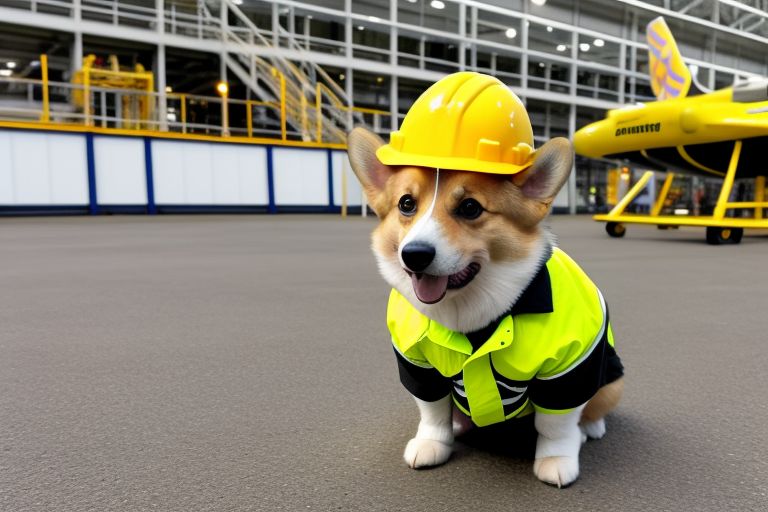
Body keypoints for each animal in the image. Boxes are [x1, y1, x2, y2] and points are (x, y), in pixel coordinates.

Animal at [348, 128, 624, 488]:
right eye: (406, 204)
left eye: (470, 207)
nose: (415, 254)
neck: (467, 309)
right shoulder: (417, 366)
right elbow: (432, 411)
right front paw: (432, 443)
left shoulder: (568, 370)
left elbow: (556, 425)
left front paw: (556, 460)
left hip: (612, 382)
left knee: (592, 408)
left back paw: (590, 429)